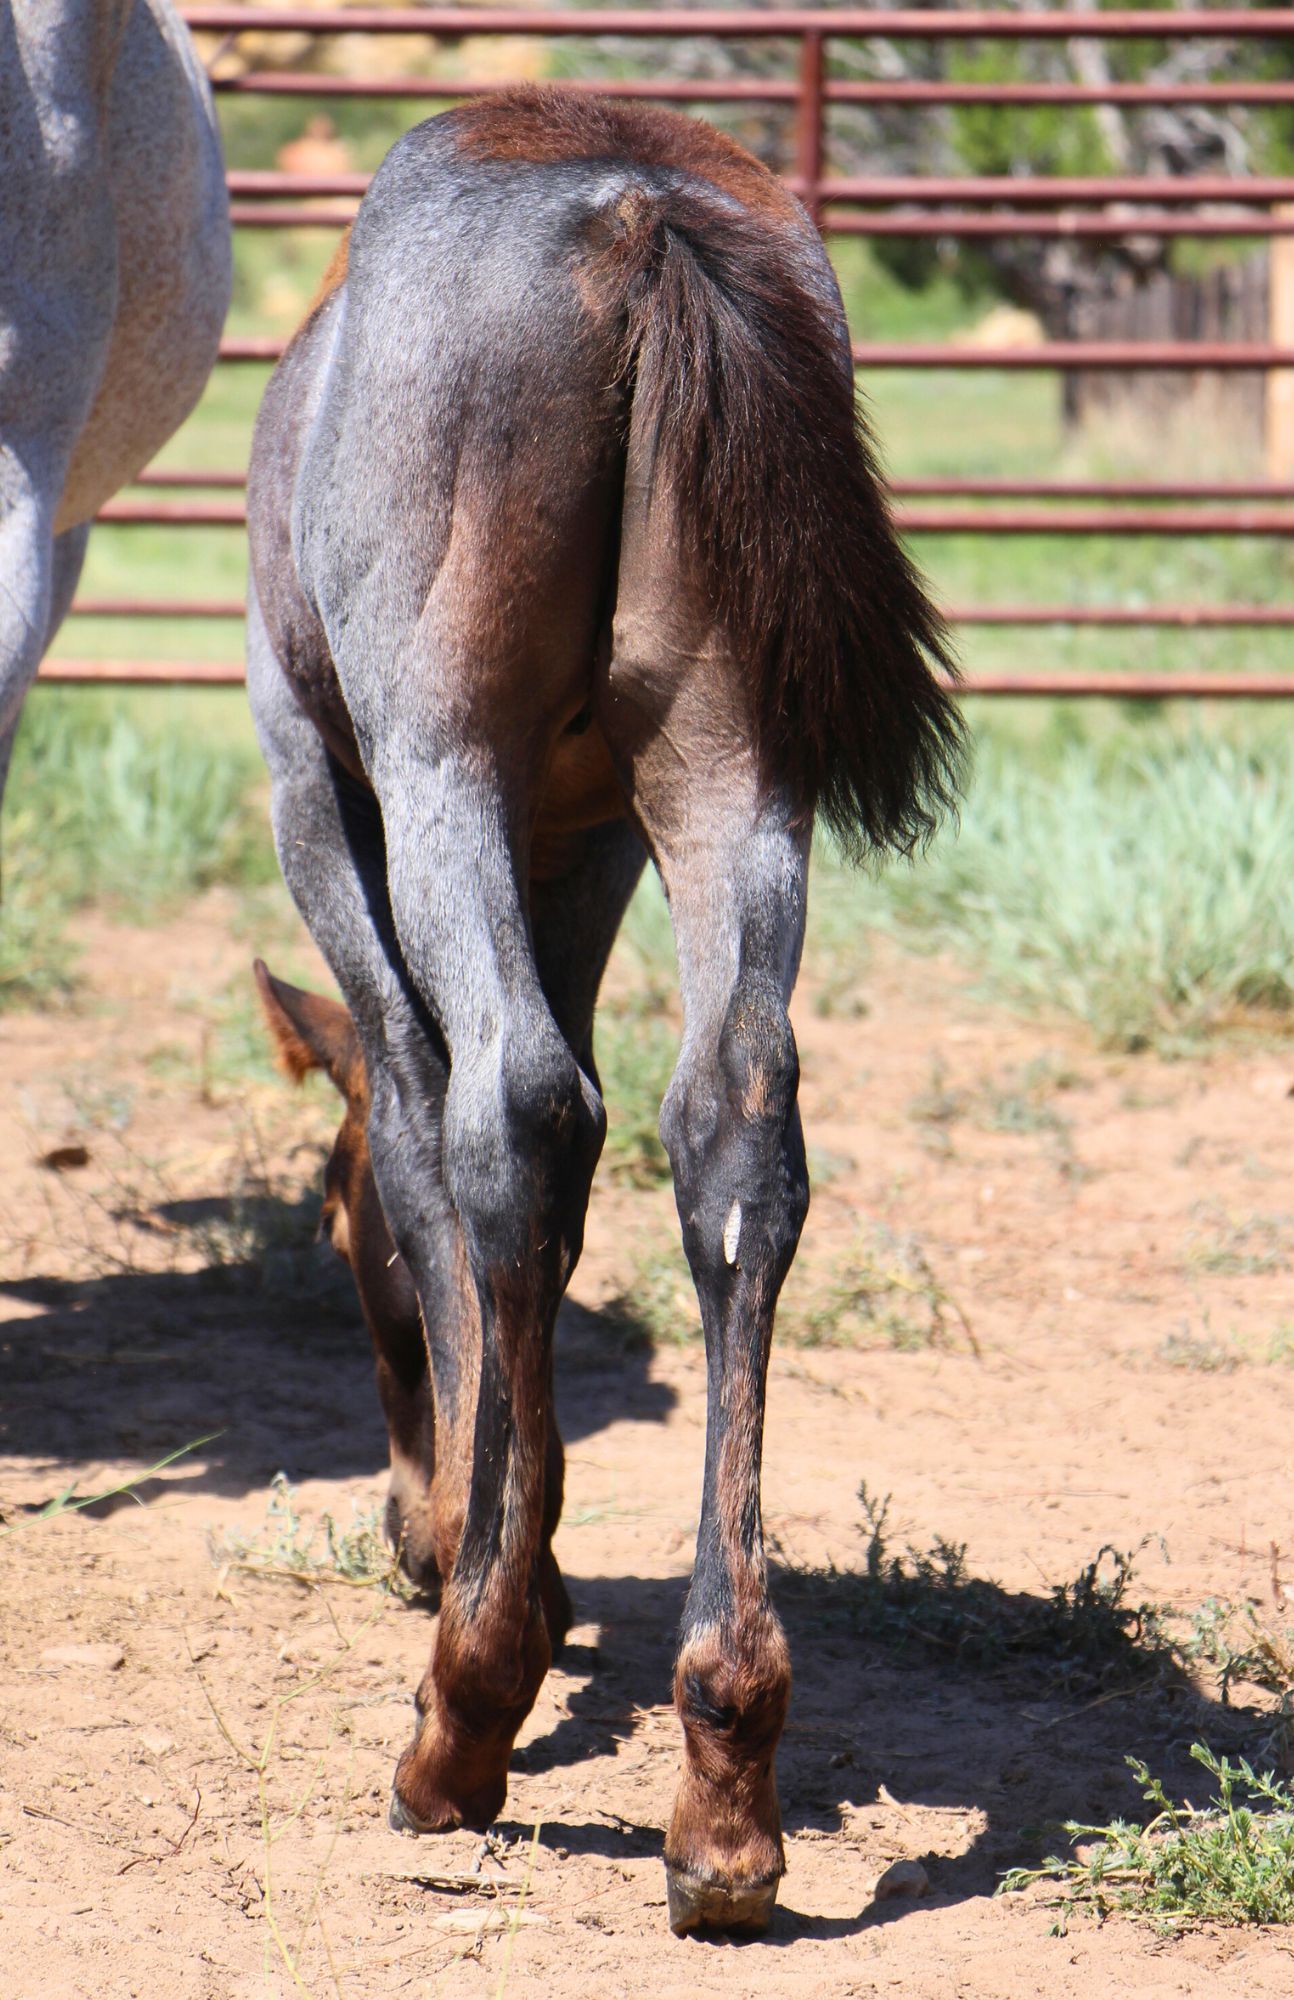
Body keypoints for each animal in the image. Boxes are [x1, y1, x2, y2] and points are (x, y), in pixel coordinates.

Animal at [245, 86, 964, 1937]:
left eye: (329, 1243)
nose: (405, 1534)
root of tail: (635, 207)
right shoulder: (585, 842)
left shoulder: (318, 791)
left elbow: (430, 1142)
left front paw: (481, 1551)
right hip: (728, 778)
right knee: (733, 1140)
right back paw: (723, 1783)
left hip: (438, 761)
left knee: (507, 1107)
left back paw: (463, 1716)